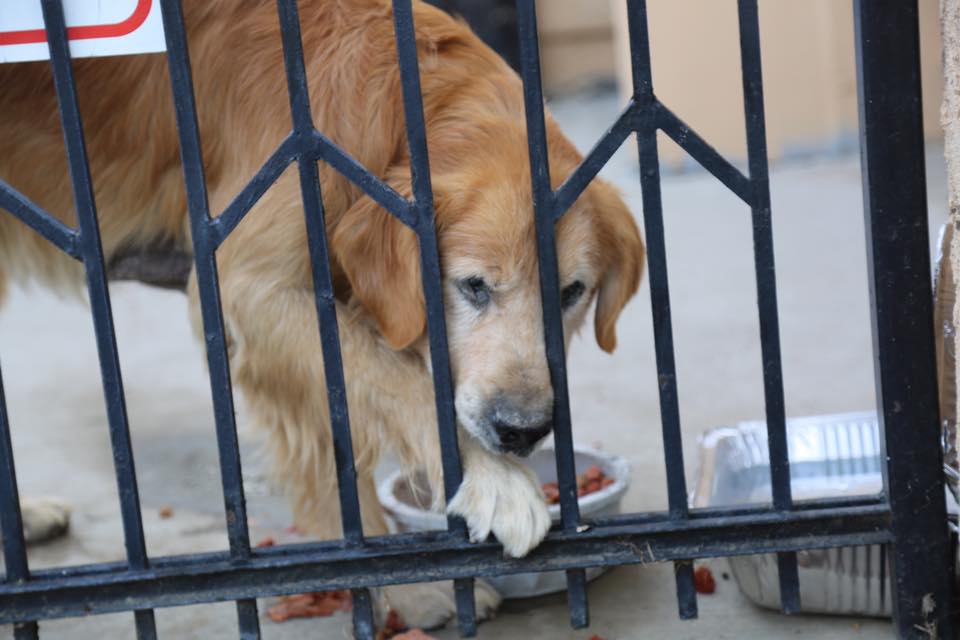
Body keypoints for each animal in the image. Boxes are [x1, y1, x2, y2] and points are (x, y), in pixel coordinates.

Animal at [1, 0, 644, 632]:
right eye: (473, 286)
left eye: (572, 292)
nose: (522, 430)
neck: (398, 111)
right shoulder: (250, 289)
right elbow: (399, 383)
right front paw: (491, 483)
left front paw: (411, 592)